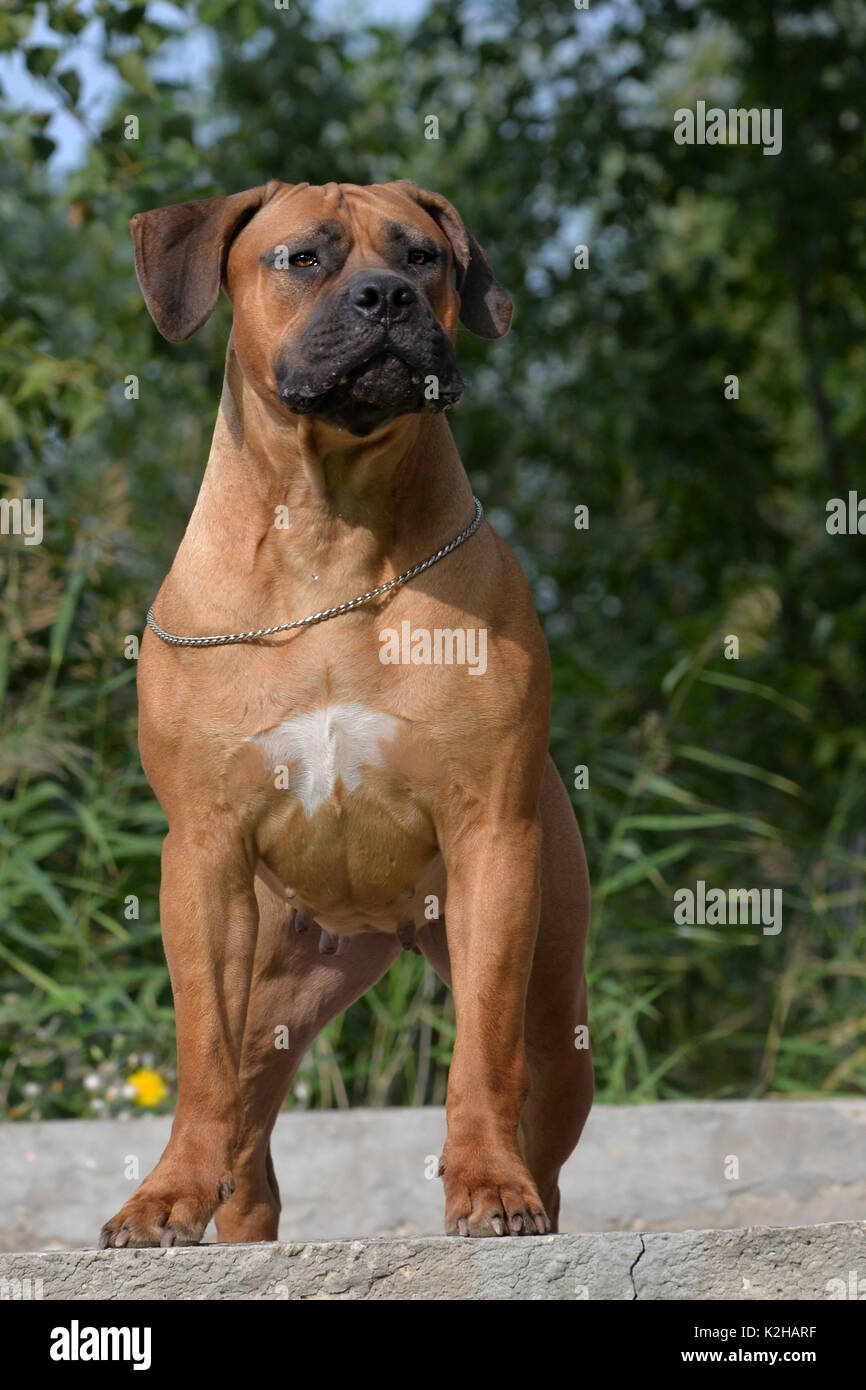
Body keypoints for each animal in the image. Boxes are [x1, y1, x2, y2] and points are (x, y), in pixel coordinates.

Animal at [97, 176, 592, 1251]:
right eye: (304, 259)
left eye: (422, 258)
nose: (386, 299)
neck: (327, 531)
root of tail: (379, 925)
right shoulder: (203, 857)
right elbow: (198, 1061)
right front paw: (164, 1198)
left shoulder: (493, 840)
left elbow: (481, 1054)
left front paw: (486, 1182)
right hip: (276, 979)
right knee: (245, 1126)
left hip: (554, 1000)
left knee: (540, 1106)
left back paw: (528, 1193)